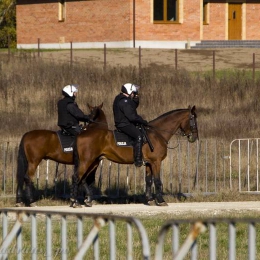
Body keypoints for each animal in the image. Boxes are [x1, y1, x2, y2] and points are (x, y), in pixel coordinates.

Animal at [70, 105, 198, 207]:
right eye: (192, 119)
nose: (195, 137)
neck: (157, 133)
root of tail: (81, 133)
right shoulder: (156, 162)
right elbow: (157, 181)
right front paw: (161, 201)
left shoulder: (149, 163)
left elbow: (148, 181)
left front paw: (150, 200)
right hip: (86, 161)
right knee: (76, 177)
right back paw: (74, 201)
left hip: (93, 162)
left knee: (83, 179)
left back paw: (85, 200)